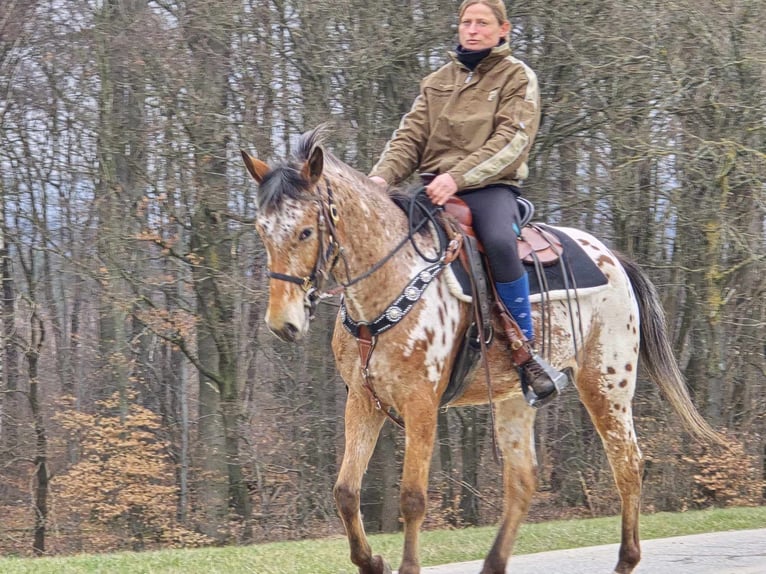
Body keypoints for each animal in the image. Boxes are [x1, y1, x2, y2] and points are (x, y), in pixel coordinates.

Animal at [243, 127, 724, 574]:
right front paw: (372, 561)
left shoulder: (421, 403)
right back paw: (494, 563)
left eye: (306, 231)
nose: (283, 323)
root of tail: (613, 258)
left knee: (627, 464)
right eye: (262, 230)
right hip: (517, 397)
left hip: (606, 384)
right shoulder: (364, 400)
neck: (390, 283)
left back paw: (626, 559)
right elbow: (345, 491)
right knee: (523, 479)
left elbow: (413, 498)